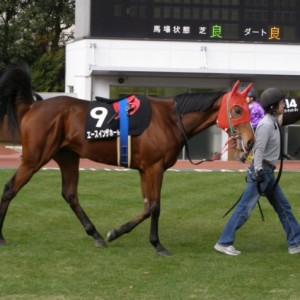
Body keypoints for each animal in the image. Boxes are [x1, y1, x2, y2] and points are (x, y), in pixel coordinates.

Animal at [0, 65, 253, 255]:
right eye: (238, 110)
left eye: (249, 109)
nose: (250, 141)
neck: (170, 120)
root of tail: (31, 106)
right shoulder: (154, 168)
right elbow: (155, 206)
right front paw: (157, 244)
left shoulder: (145, 169)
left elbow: (147, 206)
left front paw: (116, 232)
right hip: (34, 158)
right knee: (10, 188)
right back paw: (2, 237)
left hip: (68, 157)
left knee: (70, 194)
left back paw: (96, 234)